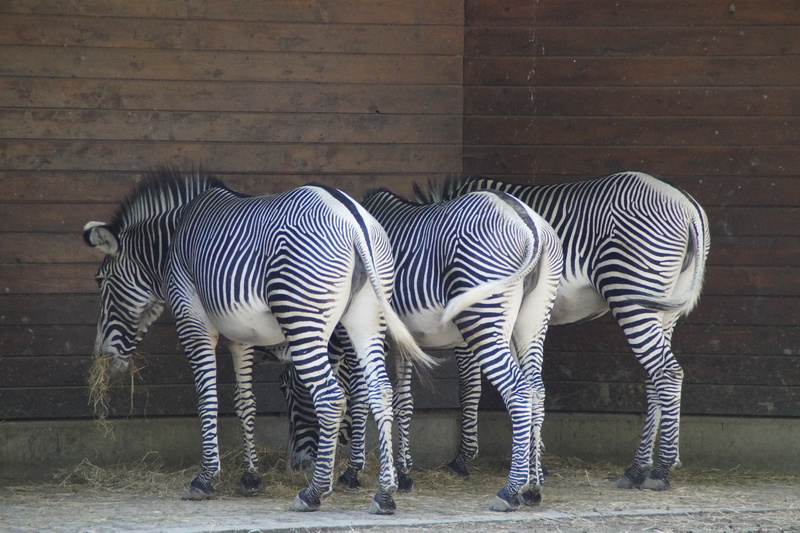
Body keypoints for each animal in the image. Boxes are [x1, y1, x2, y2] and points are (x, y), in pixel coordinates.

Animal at [82, 168, 435, 514]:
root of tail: (353, 220)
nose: (103, 354)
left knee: (332, 398)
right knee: (380, 391)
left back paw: (314, 493)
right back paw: (385, 494)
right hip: (366, 318)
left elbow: (206, 398)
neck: (172, 242)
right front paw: (250, 478)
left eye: (101, 280)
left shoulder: (193, 320)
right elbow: (245, 401)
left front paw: (205, 479)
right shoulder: (241, 338)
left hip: (302, 318)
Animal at [281, 187, 563, 511]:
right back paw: (533, 487)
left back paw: (509, 491)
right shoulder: (402, 342)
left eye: (288, 389)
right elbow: (403, 400)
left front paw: (354, 472)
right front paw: (403, 474)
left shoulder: (355, 334)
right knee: (536, 391)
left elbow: (360, 395)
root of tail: (526, 222)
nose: (294, 464)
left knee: (518, 391)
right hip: (531, 322)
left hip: (484, 315)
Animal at [441, 171, 710, 491]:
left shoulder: (474, 313)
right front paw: (535, 461)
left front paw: (463, 458)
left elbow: (469, 385)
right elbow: (526, 382)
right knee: (655, 375)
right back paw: (638, 468)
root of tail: (687, 203)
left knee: (667, 372)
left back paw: (660, 471)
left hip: (633, 292)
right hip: (667, 306)